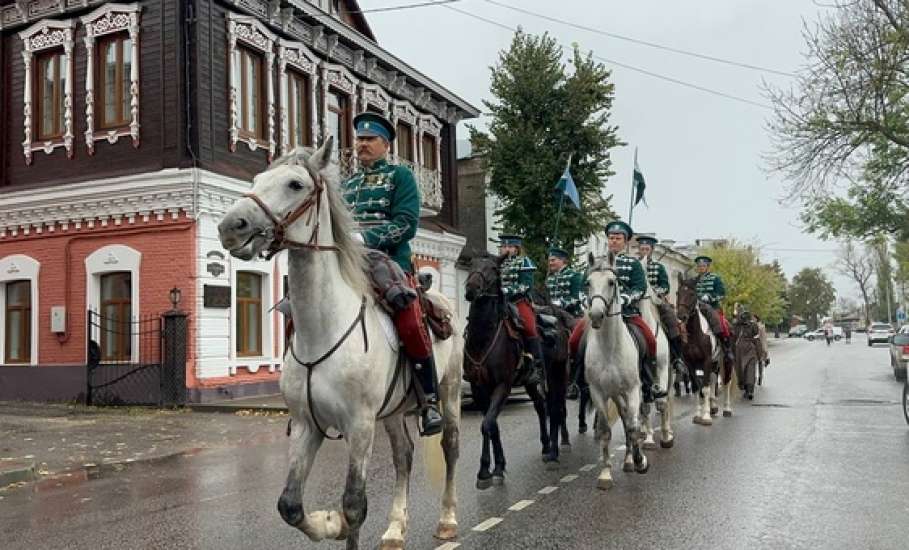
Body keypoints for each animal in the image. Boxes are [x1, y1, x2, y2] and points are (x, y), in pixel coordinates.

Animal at [218, 141, 462, 550]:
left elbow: (354, 504)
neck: (323, 330)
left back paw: (446, 520)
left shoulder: (359, 426)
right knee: (403, 456)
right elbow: (290, 505)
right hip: (393, 411)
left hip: (450, 390)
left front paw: (337, 523)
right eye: (256, 179)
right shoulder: (307, 425)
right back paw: (395, 529)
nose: (230, 227)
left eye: (295, 184)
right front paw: (331, 523)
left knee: (450, 447)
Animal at [468, 252, 552, 490]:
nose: (470, 289)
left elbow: (487, 424)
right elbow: (491, 425)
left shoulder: (502, 386)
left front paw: (486, 470)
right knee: (540, 406)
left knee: (544, 407)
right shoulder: (479, 389)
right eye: (471, 265)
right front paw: (495, 467)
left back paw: (548, 447)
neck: (483, 339)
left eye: (493, 269)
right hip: (528, 383)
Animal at [584, 252, 648, 490]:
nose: (596, 315)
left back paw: (632, 459)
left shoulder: (633, 390)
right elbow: (605, 431)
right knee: (624, 417)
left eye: (612, 282)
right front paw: (605, 474)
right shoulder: (597, 392)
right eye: (588, 283)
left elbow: (633, 428)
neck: (610, 348)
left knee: (632, 421)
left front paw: (640, 461)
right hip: (615, 395)